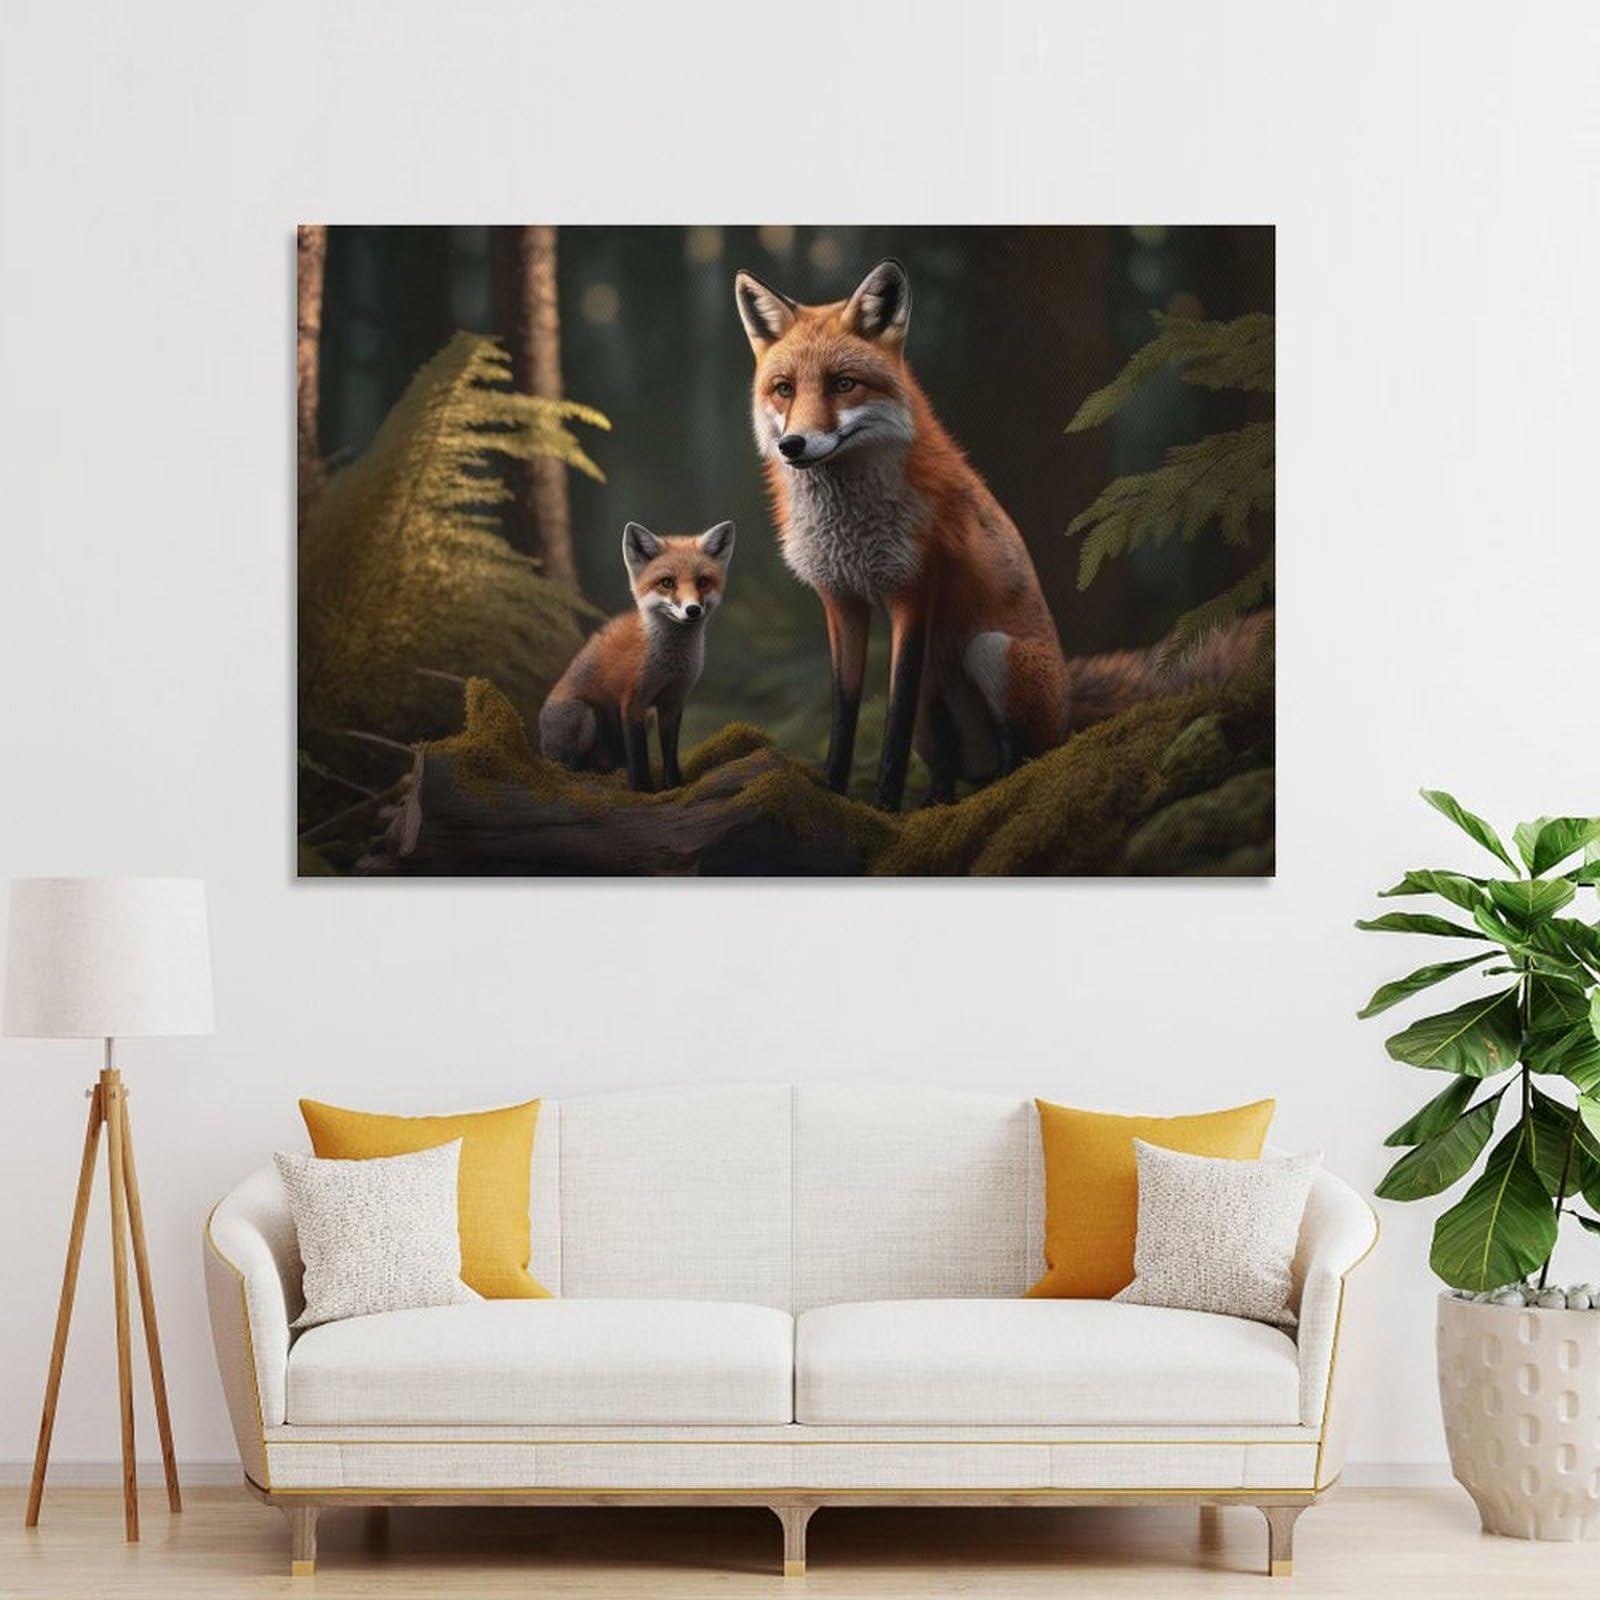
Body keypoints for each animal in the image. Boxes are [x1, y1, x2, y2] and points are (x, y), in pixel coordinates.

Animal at [539, 520, 735, 793]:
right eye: (667, 582)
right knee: (569, 765)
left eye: (703, 581)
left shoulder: (672, 703)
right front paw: (643, 789)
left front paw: (674, 786)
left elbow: (670, 752)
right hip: (585, 715)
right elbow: (638, 755)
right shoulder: (633, 703)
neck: (670, 666)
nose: (693, 610)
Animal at [734, 257, 1074, 811]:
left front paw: (886, 810)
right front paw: (834, 794)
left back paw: (991, 796)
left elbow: (894, 717)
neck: (849, 534)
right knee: (945, 763)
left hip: (991, 650)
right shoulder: (841, 600)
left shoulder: (913, 593)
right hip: (939, 702)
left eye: (843, 384)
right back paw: (938, 803)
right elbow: (845, 712)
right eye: (784, 388)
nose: (793, 445)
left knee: (1020, 752)